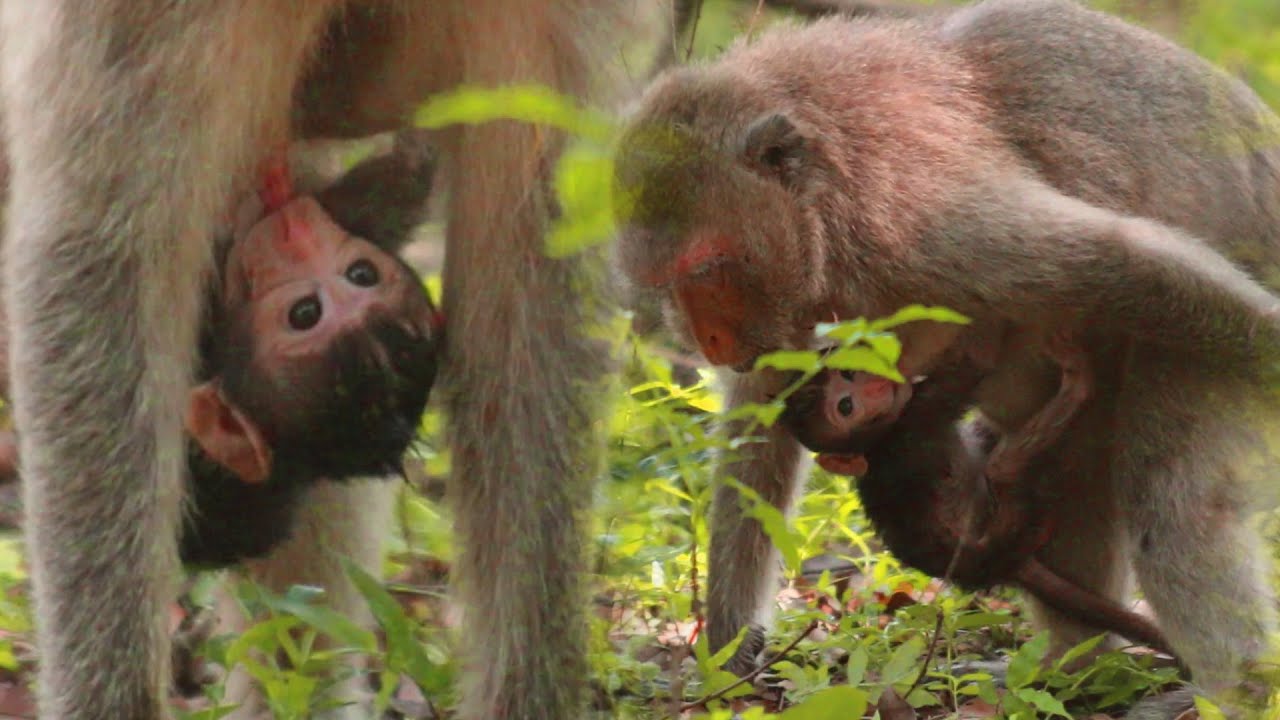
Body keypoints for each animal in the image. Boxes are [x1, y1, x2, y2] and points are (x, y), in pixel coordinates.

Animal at [611, 1, 1280, 716]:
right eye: (666, 282)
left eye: (705, 269)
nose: (705, 340)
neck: (825, 192)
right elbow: (764, 413)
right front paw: (730, 654)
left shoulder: (922, 218)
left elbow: (1131, 264)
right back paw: (1078, 665)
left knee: (1173, 502)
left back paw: (1240, 692)